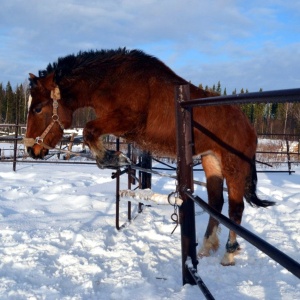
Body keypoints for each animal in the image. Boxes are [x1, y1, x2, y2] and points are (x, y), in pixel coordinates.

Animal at [24, 48, 276, 266]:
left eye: (37, 108)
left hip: (234, 166)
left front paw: (113, 158)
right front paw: (113, 158)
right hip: (211, 161)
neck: (114, 82)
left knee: (235, 209)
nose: (31, 150)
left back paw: (228, 254)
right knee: (216, 203)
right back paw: (206, 248)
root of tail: (248, 125)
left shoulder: (128, 121)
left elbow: (88, 130)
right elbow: (91, 133)